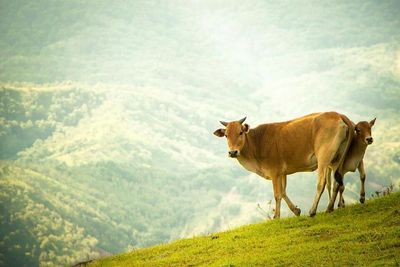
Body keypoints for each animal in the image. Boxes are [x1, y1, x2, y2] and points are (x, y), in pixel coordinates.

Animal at [212, 112, 354, 219]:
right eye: (226, 135)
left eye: (240, 132)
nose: (232, 152)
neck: (257, 143)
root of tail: (337, 114)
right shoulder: (282, 173)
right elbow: (283, 191)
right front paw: (296, 210)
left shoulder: (274, 172)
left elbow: (277, 194)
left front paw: (276, 216)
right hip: (337, 159)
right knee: (337, 182)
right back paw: (331, 207)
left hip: (324, 157)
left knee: (322, 183)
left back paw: (313, 210)